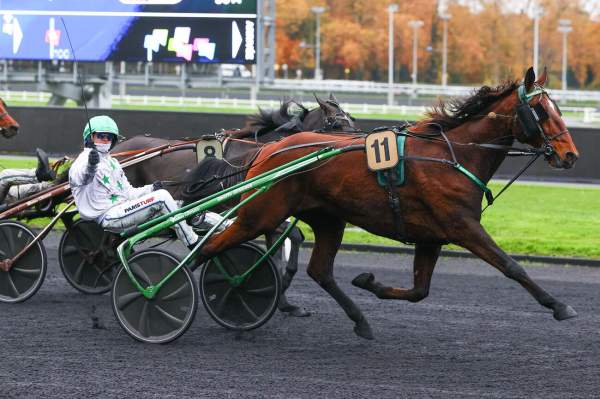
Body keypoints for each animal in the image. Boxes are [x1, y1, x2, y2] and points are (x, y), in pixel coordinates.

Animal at [112, 95, 356, 318]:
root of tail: (119, 149)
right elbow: (292, 237)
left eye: (352, 120)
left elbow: (288, 243)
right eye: (336, 124)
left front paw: (285, 301)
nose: (354, 142)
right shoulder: (252, 213)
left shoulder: (267, 211)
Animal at [196, 67, 580, 340]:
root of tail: (267, 150)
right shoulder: (463, 225)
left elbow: (419, 291)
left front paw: (369, 282)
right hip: (259, 214)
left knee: (320, 271)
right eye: (541, 111)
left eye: (558, 108)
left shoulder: (431, 237)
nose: (570, 155)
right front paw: (559, 305)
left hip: (327, 219)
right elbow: (511, 266)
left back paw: (360, 321)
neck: (453, 155)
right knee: (208, 249)